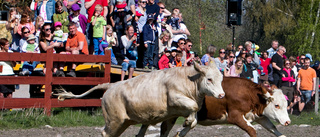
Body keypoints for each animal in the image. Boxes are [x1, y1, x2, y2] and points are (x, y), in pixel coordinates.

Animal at [138, 77, 290, 137]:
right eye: (276, 105)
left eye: (286, 105)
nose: (288, 122)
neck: (249, 94)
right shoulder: (235, 116)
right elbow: (252, 131)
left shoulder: (260, 117)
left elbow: (273, 128)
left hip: (171, 115)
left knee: (165, 128)